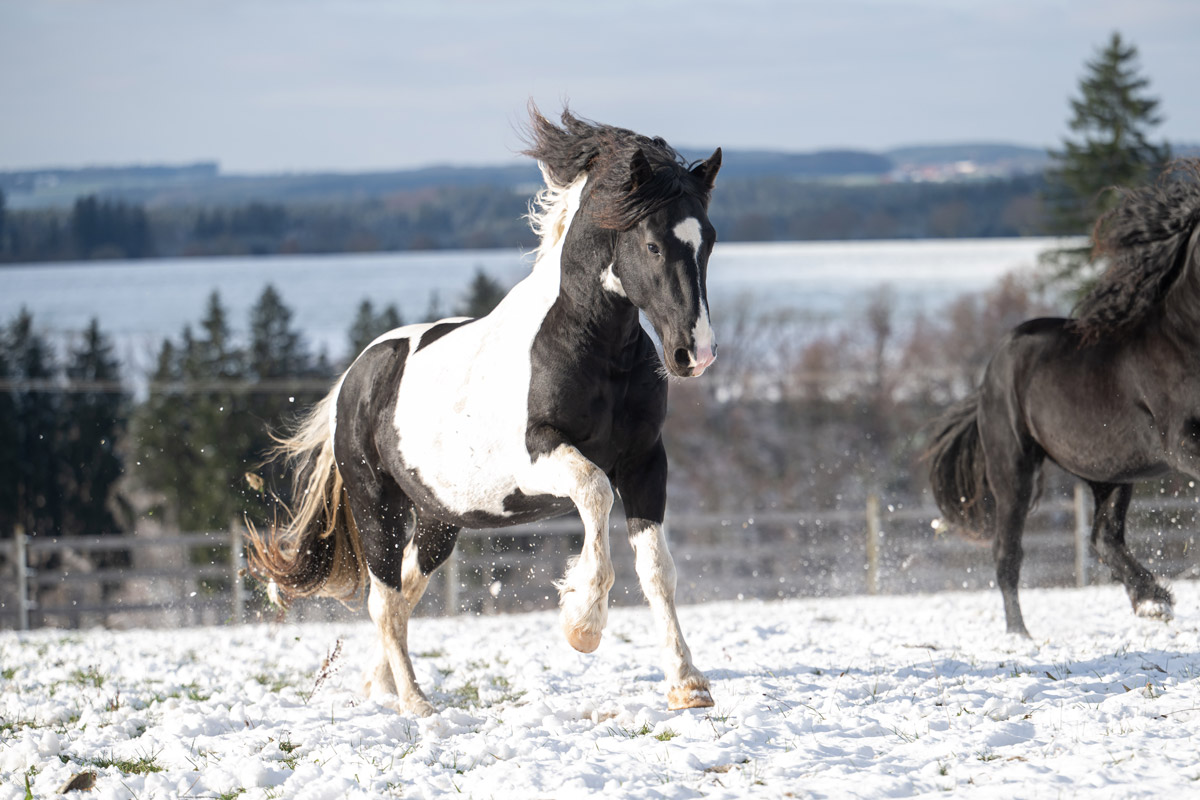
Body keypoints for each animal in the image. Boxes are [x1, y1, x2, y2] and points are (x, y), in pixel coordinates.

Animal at [247, 106, 723, 715]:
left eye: (708, 240)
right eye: (653, 244)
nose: (695, 353)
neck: (589, 347)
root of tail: (355, 378)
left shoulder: (644, 462)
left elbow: (658, 570)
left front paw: (688, 684)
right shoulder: (543, 457)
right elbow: (595, 494)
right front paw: (582, 625)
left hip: (438, 519)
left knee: (404, 593)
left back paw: (381, 687)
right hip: (377, 506)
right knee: (384, 600)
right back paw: (416, 704)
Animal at [926, 160, 1200, 637]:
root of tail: (992, 369)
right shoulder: (1181, 442)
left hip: (1110, 468)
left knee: (1103, 537)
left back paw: (1152, 601)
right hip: (1014, 470)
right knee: (1008, 555)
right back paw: (1021, 637)